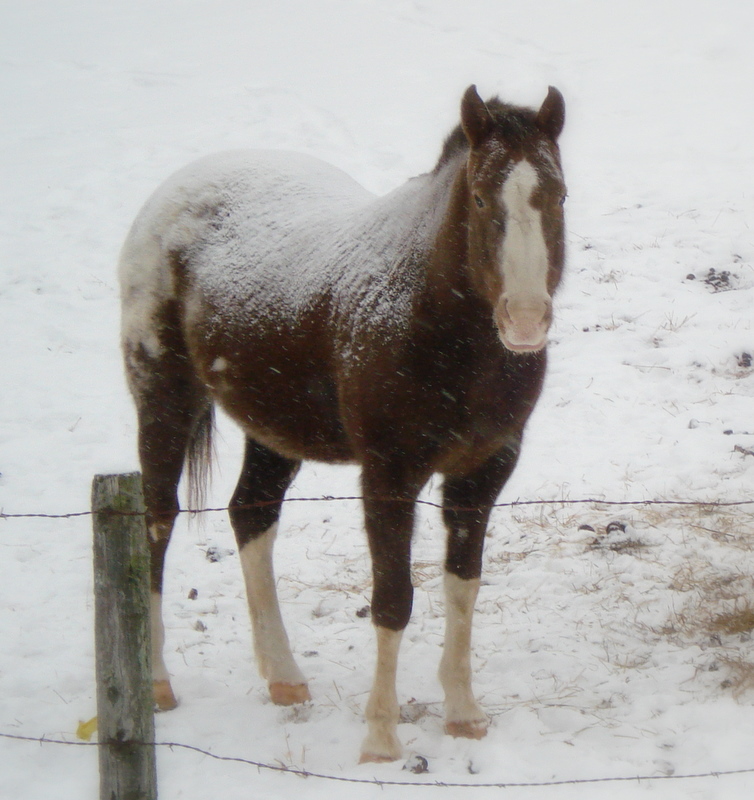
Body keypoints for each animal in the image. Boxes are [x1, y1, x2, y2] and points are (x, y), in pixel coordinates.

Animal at [119, 84, 566, 763]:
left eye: (558, 195)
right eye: (482, 198)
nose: (524, 319)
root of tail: (174, 191)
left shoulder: (481, 474)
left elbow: (462, 586)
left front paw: (463, 714)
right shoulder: (389, 477)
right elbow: (393, 600)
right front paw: (380, 738)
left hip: (274, 431)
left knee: (251, 514)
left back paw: (283, 677)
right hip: (164, 402)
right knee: (156, 524)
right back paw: (156, 683)